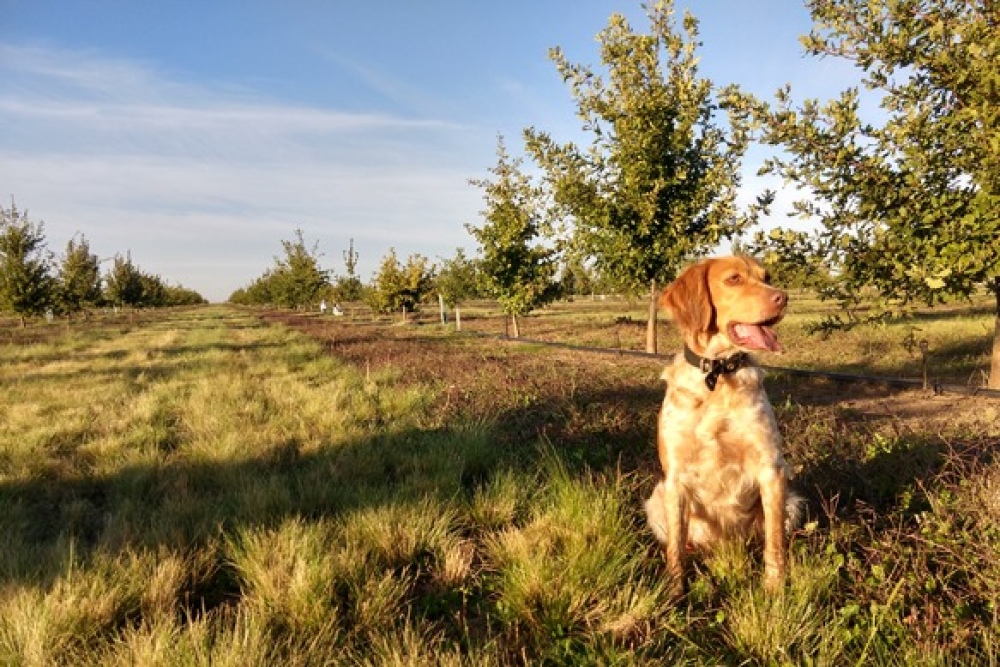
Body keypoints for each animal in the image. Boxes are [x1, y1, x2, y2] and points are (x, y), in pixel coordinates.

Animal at [644, 256, 800, 596]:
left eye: (766, 276)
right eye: (733, 279)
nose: (783, 297)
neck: (717, 375)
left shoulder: (772, 469)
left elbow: (774, 544)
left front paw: (775, 589)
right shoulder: (675, 478)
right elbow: (674, 548)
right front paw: (674, 592)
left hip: (792, 501)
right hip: (656, 499)